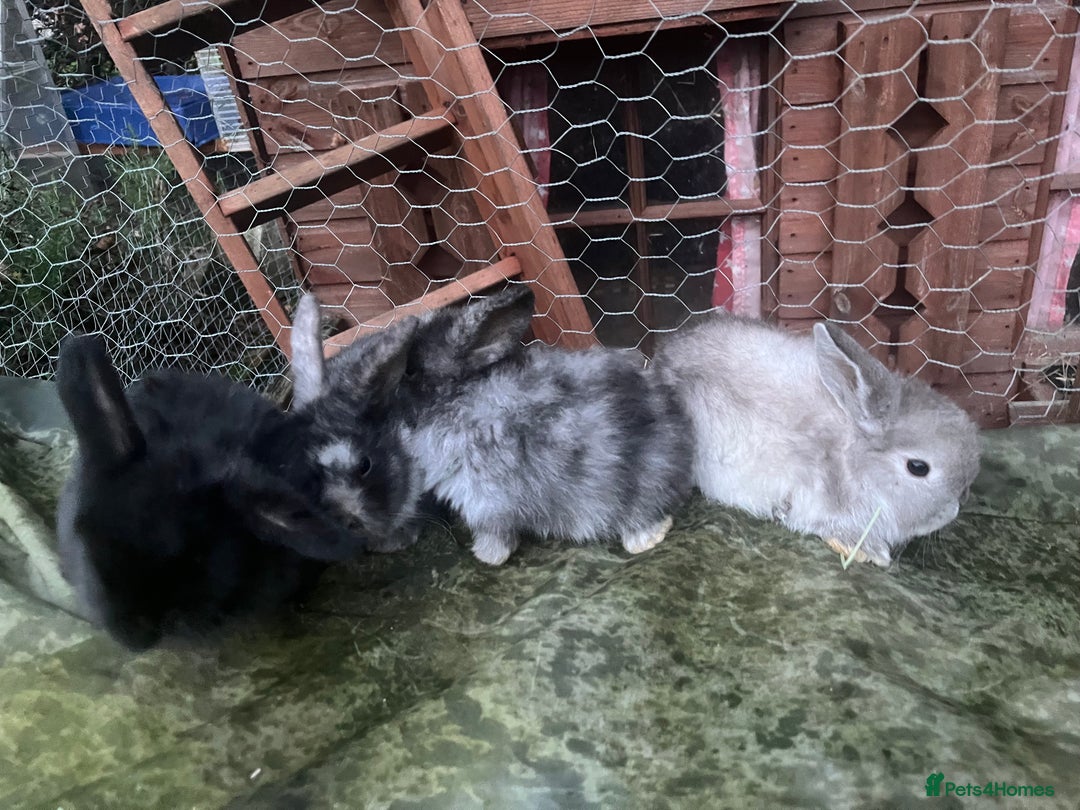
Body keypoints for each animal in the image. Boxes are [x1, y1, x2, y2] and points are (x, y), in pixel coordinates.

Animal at [291, 285, 695, 565]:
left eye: (410, 370)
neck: (453, 399)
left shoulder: (485, 498)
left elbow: (496, 533)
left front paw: (485, 556)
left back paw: (645, 540)